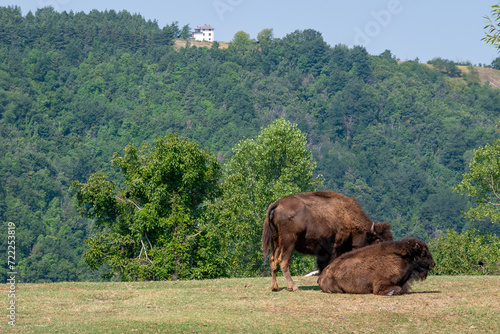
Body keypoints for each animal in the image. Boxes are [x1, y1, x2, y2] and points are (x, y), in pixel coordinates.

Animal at [260, 192, 392, 290]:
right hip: (288, 243)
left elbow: (323, 265)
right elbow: (329, 264)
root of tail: (277, 204)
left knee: (273, 261)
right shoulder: (335, 247)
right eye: (378, 241)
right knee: (283, 262)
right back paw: (293, 287)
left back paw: (275, 287)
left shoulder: (322, 251)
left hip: (275, 242)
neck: (347, 216)